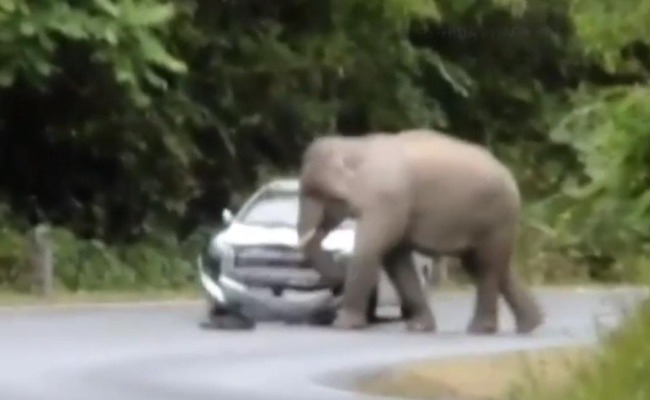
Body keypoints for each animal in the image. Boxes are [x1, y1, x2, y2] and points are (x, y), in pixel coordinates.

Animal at [296, 129, 544, 335]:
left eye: (320, 194)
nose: (336, 287)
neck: (356, 145)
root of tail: (511, 176)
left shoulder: (386, 200)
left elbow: (371, 250)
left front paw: (344, 325)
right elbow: (395, 259)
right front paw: (419, 328)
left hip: (498, 217)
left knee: (486, 265)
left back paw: (480, 330)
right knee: (485, 264)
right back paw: (531, 325)